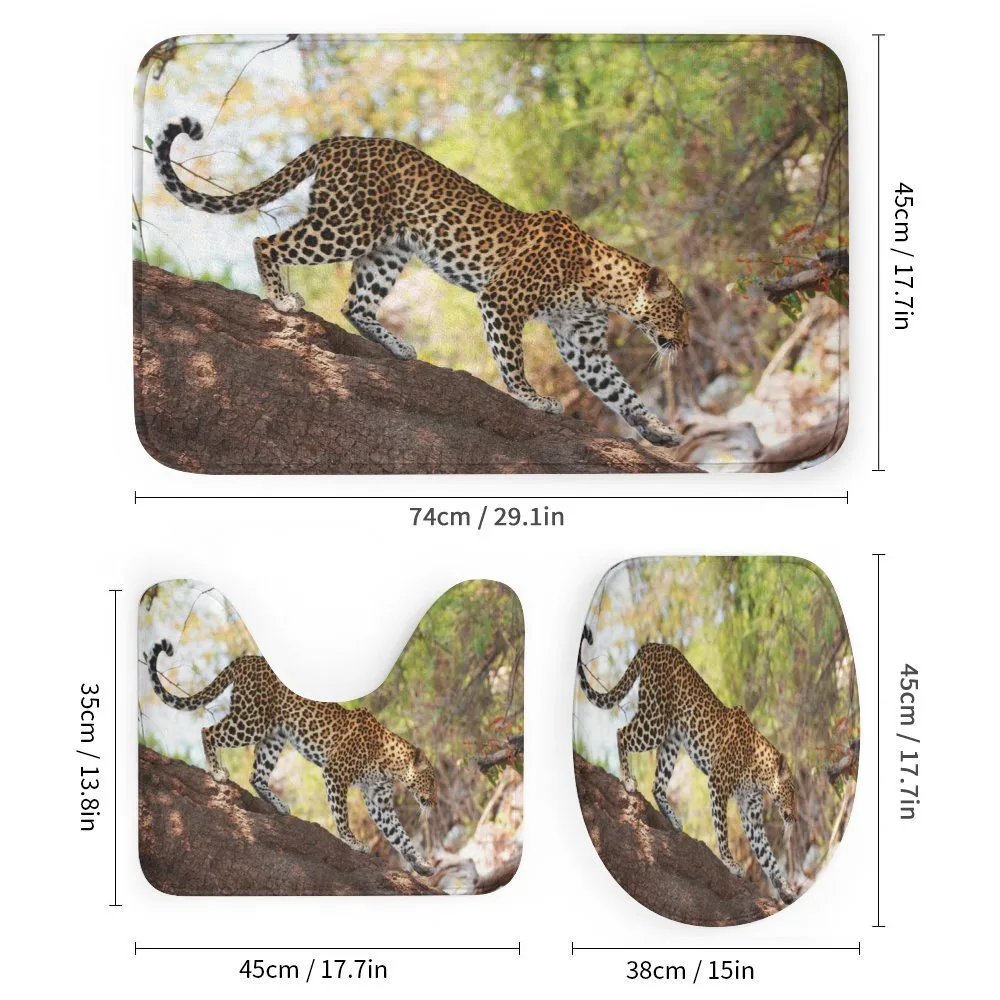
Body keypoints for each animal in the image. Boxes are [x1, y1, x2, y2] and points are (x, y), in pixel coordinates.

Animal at [147, 639, 438, 876]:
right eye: (433, 781)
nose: (435, 802)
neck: (390, 765)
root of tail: (249, 658)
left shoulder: (379, 800)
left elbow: (400, 835)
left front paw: (422, 864)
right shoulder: (336, 773)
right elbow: (342, 813)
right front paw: (353, 841)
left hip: (274, 737)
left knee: (256, 775)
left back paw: (279, 805)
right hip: (251, 722)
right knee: (209, 731)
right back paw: (217, 772)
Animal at [153, 117, 690, 446]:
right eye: (681, 312)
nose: (684, 343)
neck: (604, 288)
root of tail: (343, 140)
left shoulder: (583, 343)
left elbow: (620, 390)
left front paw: (657, 430)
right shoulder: (502, 301)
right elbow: (512, 360)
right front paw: (533, 398)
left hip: (388, 250)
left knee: (354, 305)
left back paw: (397, 346)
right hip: (346, 228)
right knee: (266, 241)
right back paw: (282, 300)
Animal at [577, 625, 798, 903]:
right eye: (792, 791)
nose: (795, 818)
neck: (761, 775)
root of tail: (655, 645)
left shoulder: (751, 811)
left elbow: (766, 854)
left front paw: (785, 887)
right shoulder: (718, 783)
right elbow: (723, 829)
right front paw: (730, 862)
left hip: (671, 741)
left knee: (657, 785)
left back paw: (673, 820)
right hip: (655, 722)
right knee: (622, 733)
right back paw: (627, 780)